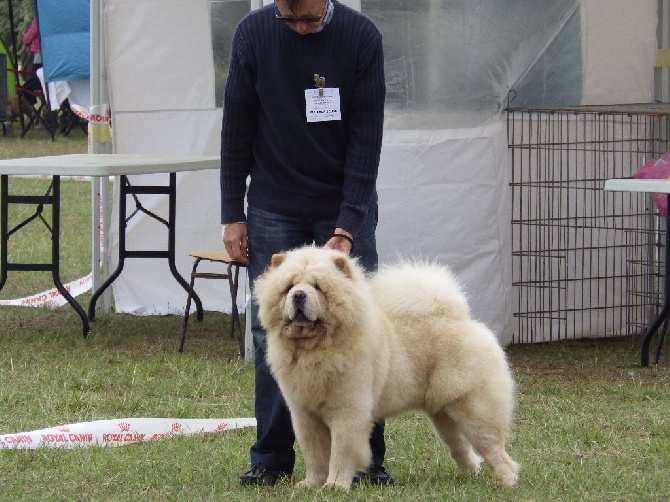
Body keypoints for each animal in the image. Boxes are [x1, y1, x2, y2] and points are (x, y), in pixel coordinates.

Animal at [255, 245, 524, 488]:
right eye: (288, 287)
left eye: (319, 287)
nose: (299, 295)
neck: (313, 349)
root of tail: (461, 319)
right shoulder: (305, 416)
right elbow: (315, 455)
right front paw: (311, 484)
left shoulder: (347, 411)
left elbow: (341, 452)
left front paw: (335, 486)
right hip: (443, 414)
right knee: (461, 447)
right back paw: (469, 475)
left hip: (474, 408)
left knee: (493, 448)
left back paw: (507, 481)